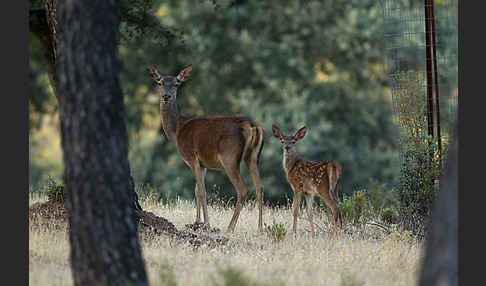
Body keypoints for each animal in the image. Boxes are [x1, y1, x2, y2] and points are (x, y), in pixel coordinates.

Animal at [147, 63, 264, 231]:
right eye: (160, 83)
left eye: (176, 83)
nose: (166, 96)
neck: (177, 132)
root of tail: (252, 126)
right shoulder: (204, 164)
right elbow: (197, 190)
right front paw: (197, 221)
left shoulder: (192, 157)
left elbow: (202, 190)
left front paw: (206, 223)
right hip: (252, 157)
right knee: (260, 186)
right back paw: (260, 228)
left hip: (229, 157)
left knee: (243, 189)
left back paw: (230, 228)